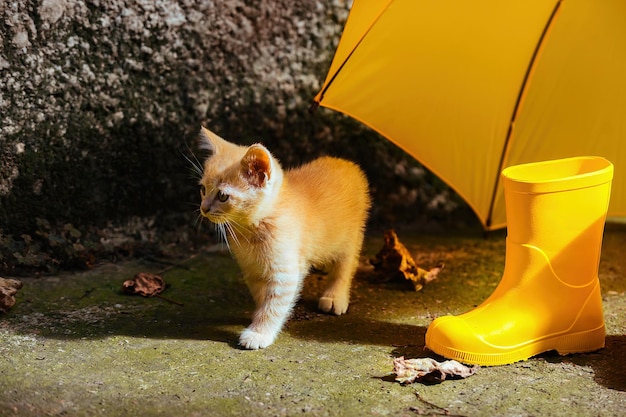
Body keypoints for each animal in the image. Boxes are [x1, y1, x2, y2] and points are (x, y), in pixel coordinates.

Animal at [197, 126, 368, 348]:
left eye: (223, 196)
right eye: (203, 189)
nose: (203, 208)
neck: (251, 232)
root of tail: (347, 163)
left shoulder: (285, 271)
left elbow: (274, 304)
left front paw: (260, 332)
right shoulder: (251, 269)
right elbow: (262, 296)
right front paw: (257, 316)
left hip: (350, 237)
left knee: (345, 265)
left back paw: (335, 296)